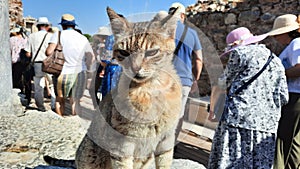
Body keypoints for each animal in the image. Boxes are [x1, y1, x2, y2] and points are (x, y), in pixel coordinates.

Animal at [76, 7, 182, 168]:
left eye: (152, 52)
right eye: (124, 52)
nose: (135, 68)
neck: (148, 90)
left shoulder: (166, 139)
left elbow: (165, 162)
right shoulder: (122, 143)